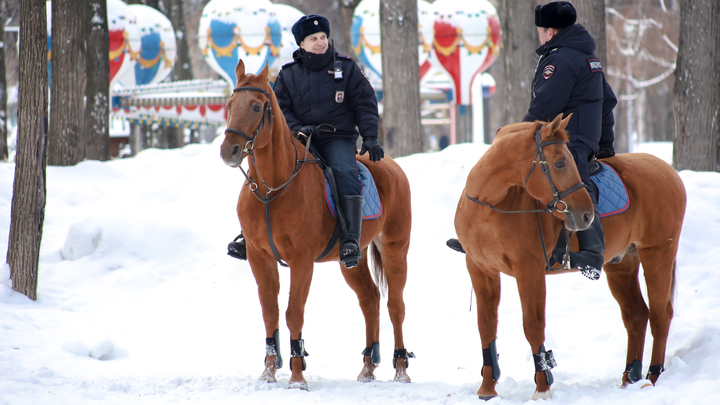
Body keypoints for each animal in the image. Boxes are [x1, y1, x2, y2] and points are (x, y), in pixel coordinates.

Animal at [219, 60, 414, 388]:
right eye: (229, 105)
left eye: (257, 107)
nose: (228, 151)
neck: (273, 188)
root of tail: (392, 166)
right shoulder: (259, 258)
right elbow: (270, 312)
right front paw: (268, 372)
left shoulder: (301, 260)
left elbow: (293, 313)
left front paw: (297, 376)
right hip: (353, 259)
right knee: (370, 300)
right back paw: (367, 368)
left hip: (395, 249)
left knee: (395, 306)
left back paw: (401, 369)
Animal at [456, 113, 688, 398]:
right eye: (559, 163)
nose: (586, 215)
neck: (489, 207)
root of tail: (668, 171)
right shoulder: (480, 269)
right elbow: (486, 325)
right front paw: (487, 388)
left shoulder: (529, 270)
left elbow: (533, 325)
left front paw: (542, 388)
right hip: (622, 264)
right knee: (636, 315)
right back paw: (628, 378)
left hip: (658, 253)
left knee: (659, 314)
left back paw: (653, 377)